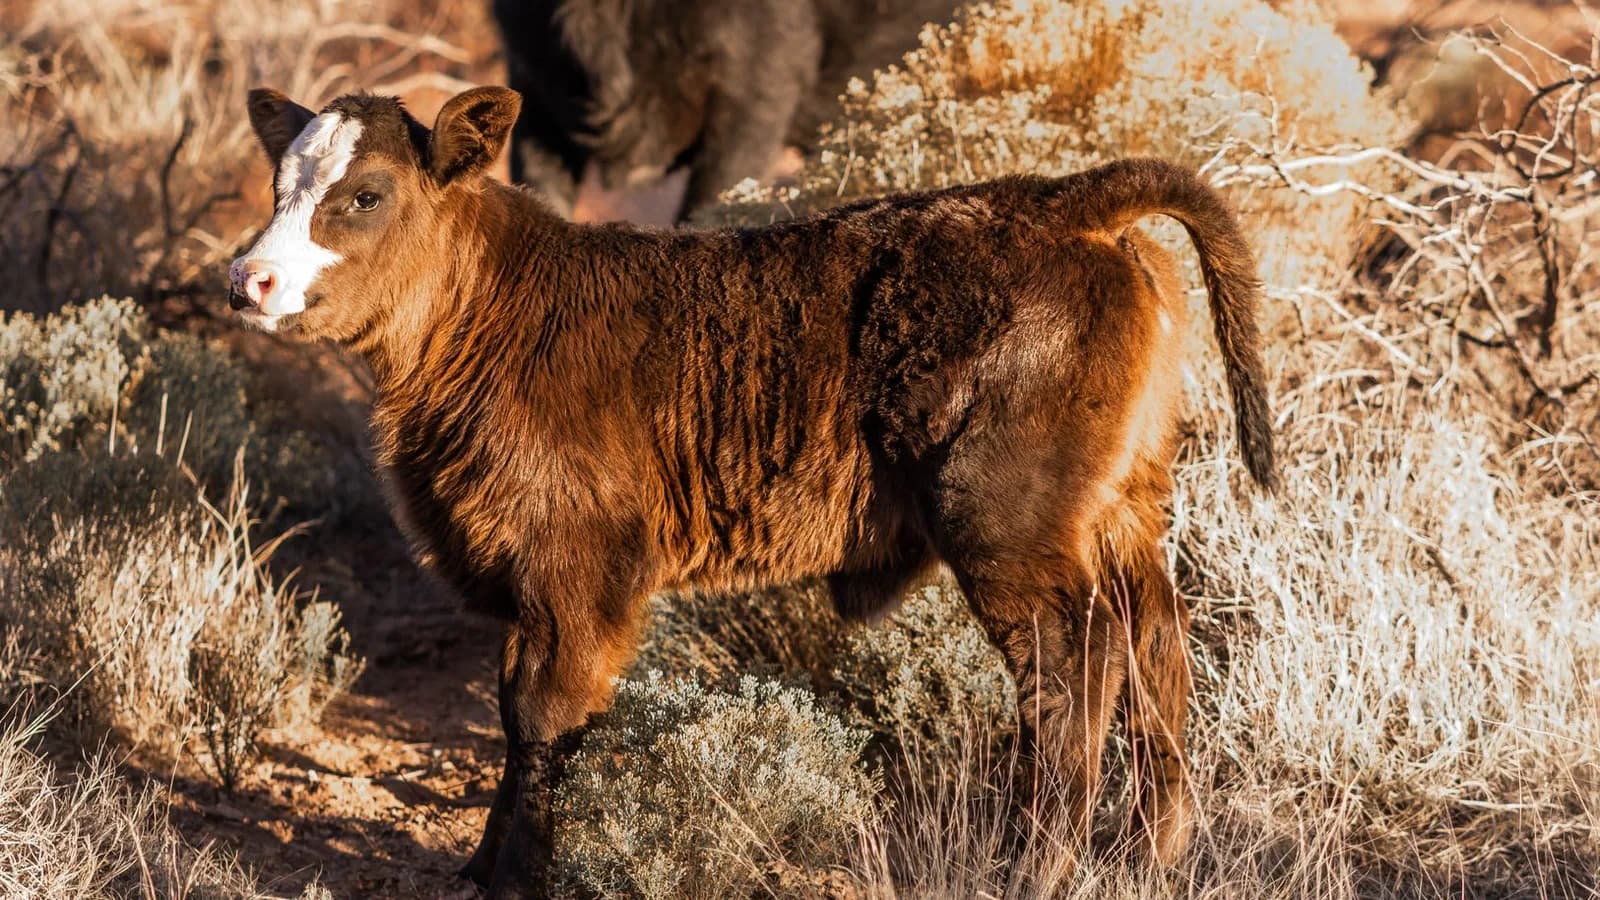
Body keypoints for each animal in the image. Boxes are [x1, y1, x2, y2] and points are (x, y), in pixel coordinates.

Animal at [228, 85, 1275, 898]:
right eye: (279, 186)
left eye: (366, 194)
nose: (249, 278)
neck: (497, 313)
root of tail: (1061, 200)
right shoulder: (528, 580)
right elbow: (512, 711)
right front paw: (484, 867)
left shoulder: (580, 571)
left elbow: (545, 718)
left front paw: (523, 878)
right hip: (1124, 508)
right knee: (1157, 644)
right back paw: (1149, 857)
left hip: (1007, 526)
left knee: (1074, 668)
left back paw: (1032, 870)